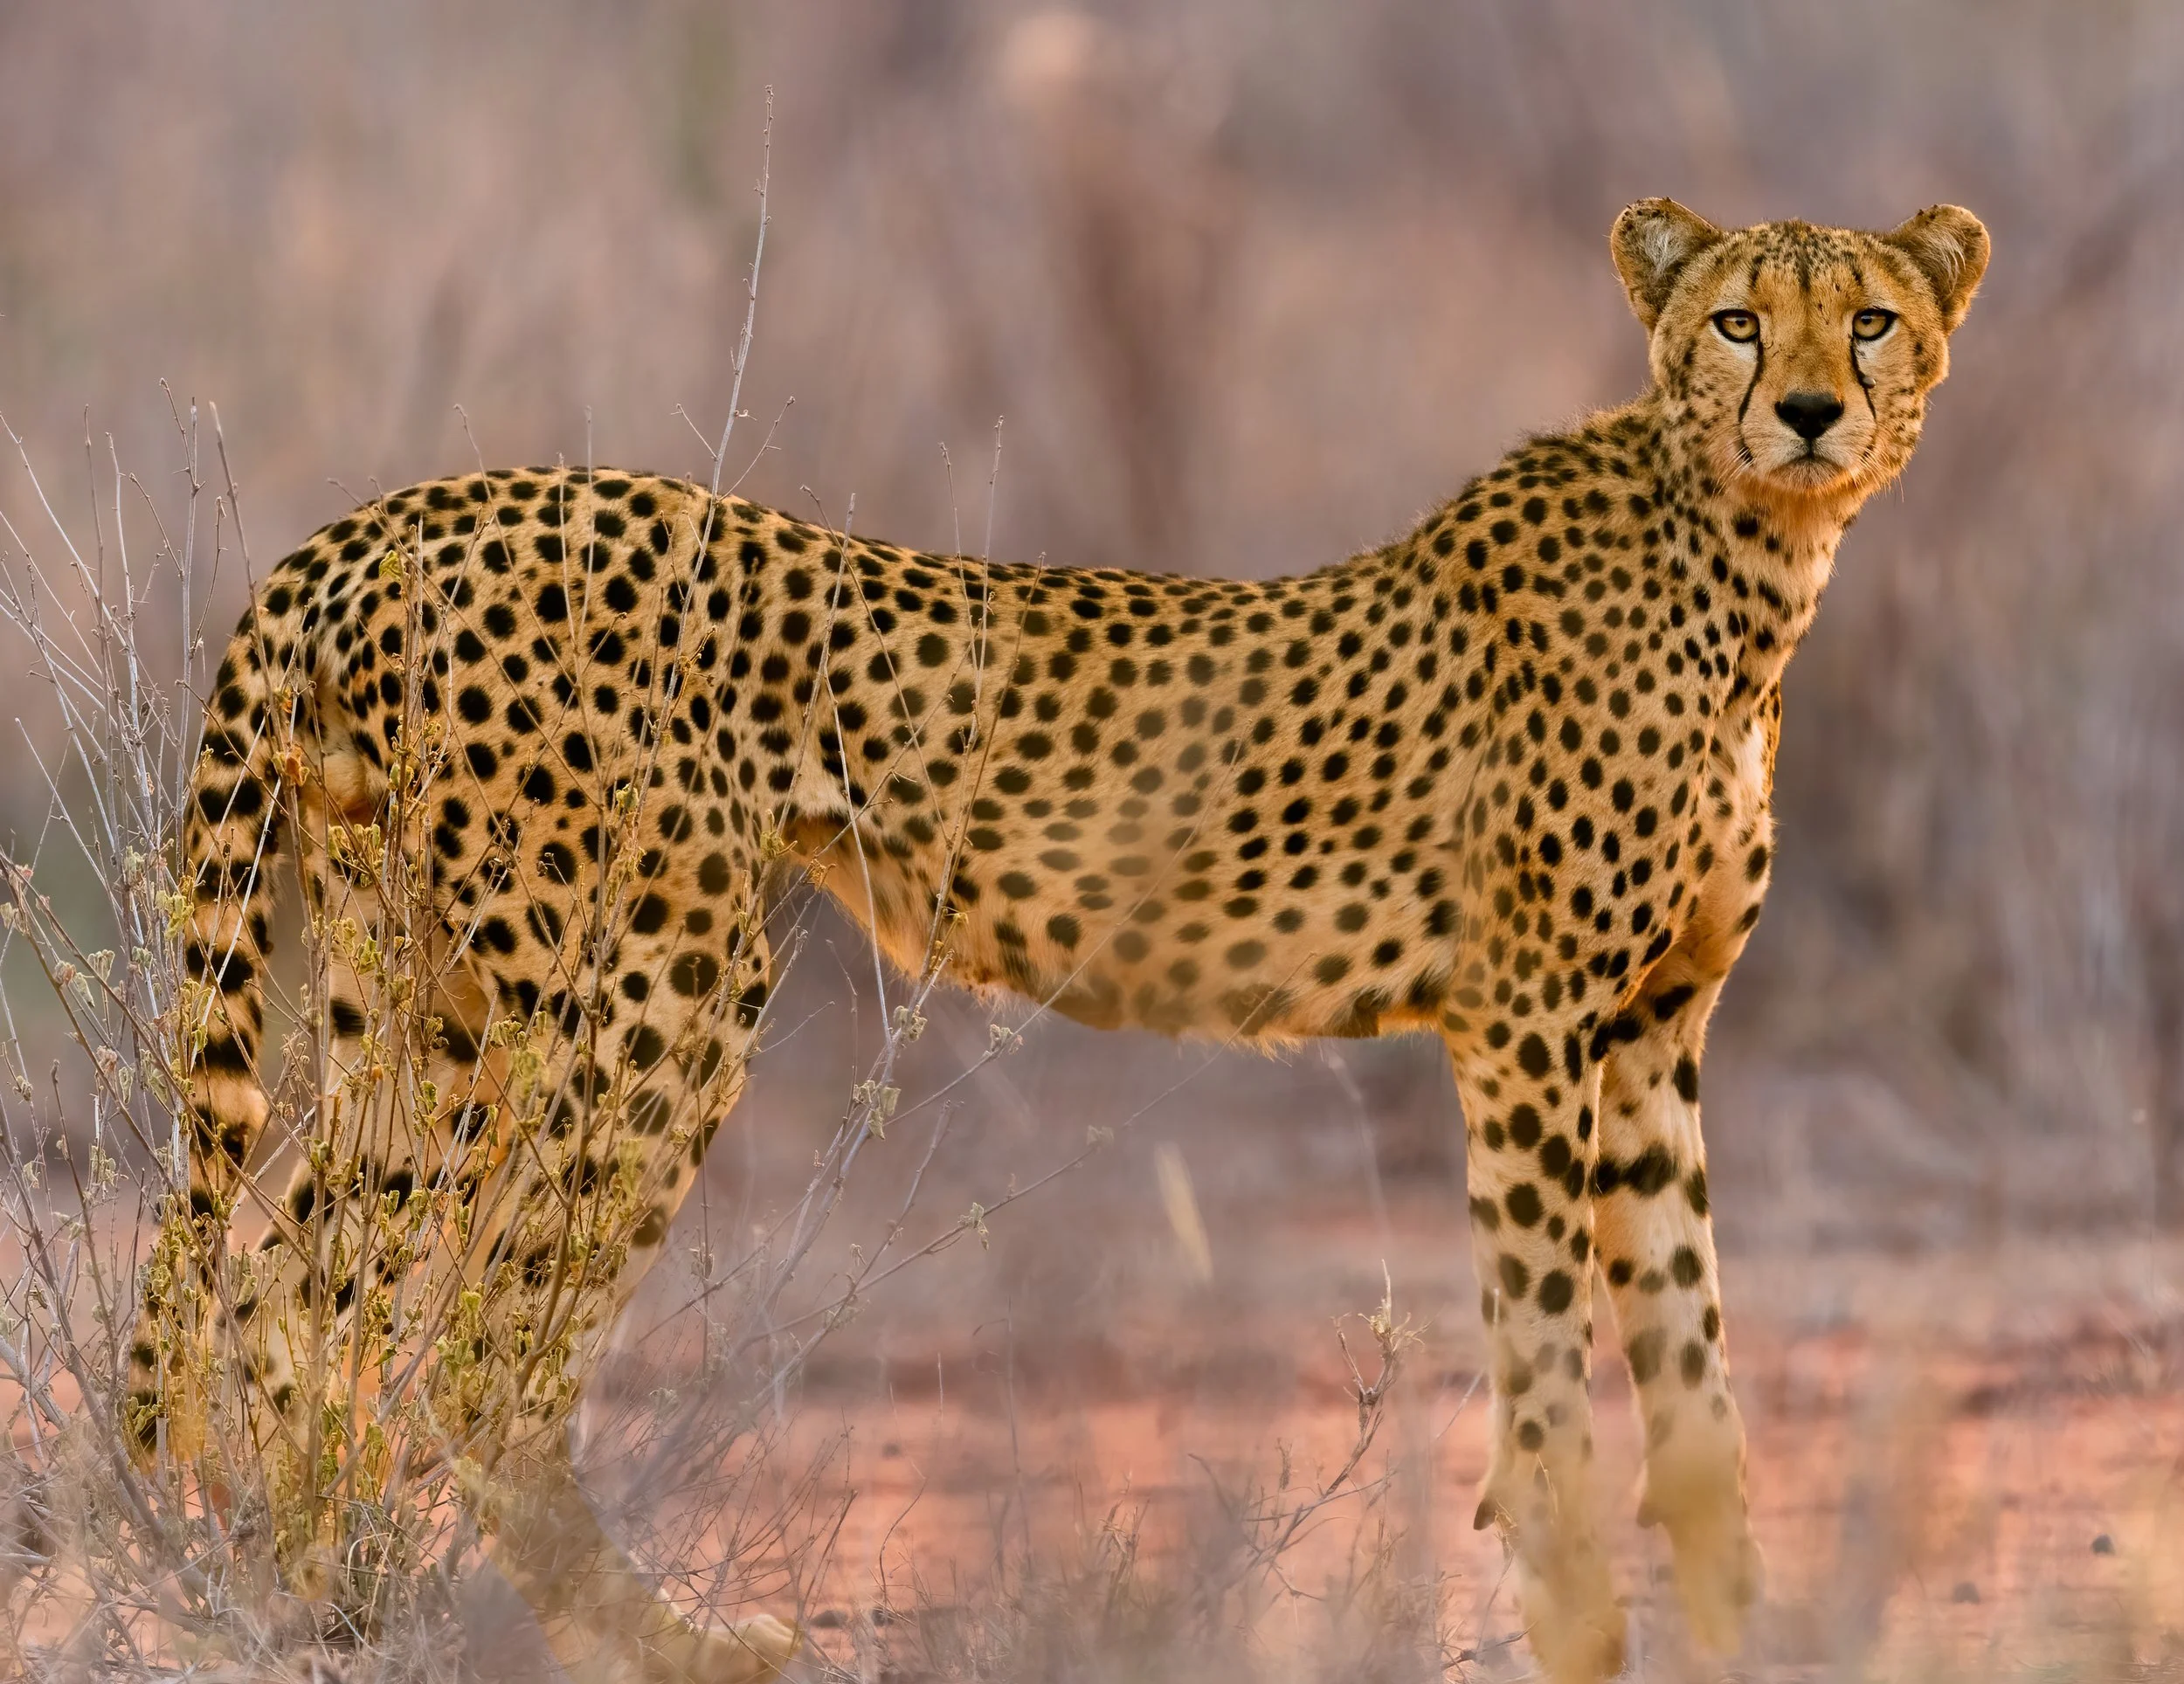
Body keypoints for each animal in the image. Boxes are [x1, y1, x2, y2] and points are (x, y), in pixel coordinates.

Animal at [133, 198, 1985, 1683]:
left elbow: (1695, 1366)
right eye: (1739, 318)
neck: (1744, 552)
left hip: (421, 994)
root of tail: (398, 512)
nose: (1808, 408)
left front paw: (1750, 1623)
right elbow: (1543, 1352)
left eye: (1868, 317)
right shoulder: (1530, 1027)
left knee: (292, 1272)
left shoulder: (1657, 1035)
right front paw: (1584, 1615)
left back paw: (319, 1598)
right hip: (644, 982)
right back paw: (661, 1640)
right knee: (477, 1343)